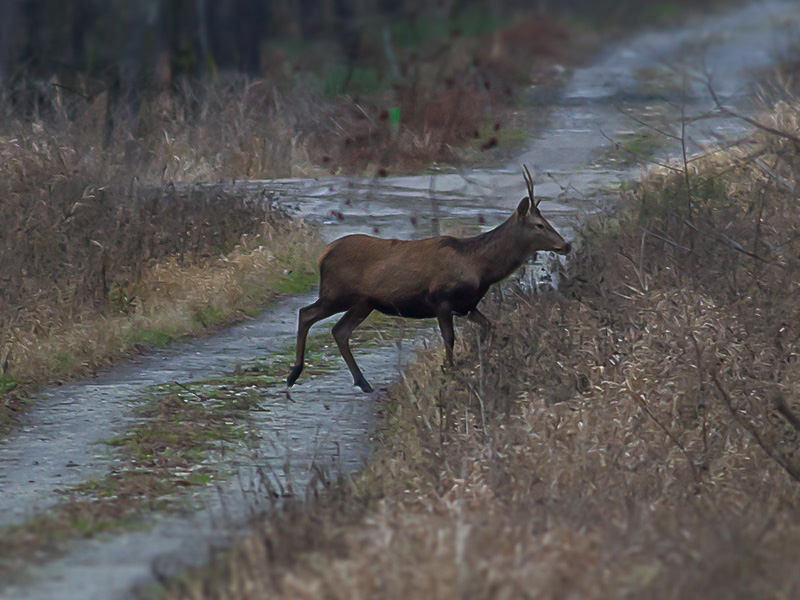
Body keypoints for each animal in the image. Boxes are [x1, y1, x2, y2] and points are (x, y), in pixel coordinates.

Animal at [286, 166, 568, 394]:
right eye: (539, 224)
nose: (567, 245)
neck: (480, 267)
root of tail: (323, 254)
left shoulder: (467, 306)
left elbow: (489, 326)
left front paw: (480, 359)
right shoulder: (442, 300)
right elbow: (449, 338)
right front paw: (449, 371)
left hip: (364, 303)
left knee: (339, 331)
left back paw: (363, 382)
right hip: (337, 293)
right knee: (306, 313)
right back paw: (293, 374)